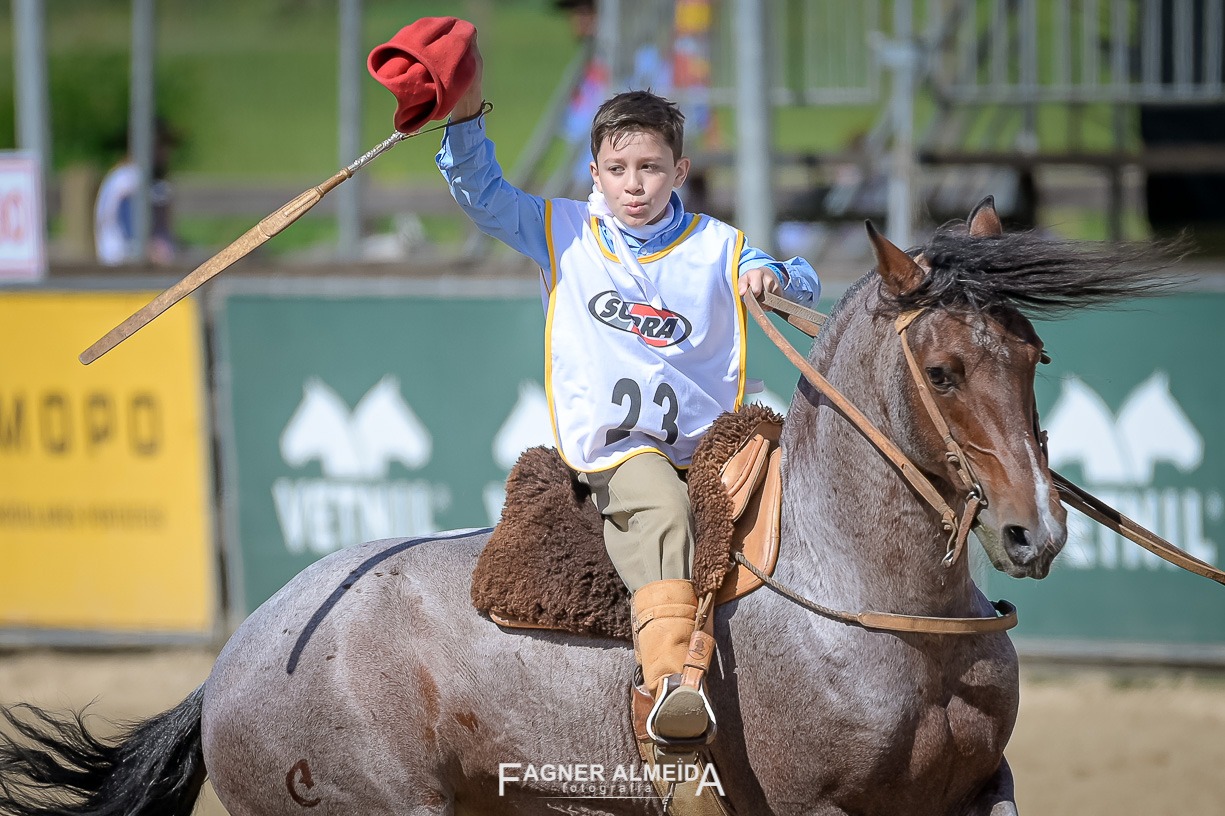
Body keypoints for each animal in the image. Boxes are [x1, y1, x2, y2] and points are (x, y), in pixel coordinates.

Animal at [0, 198, 1166, 813]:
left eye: (1032, 356)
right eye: (941, 367)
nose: (1032, 529)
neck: (871, 595)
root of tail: (234, 656)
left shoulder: (976, 785)